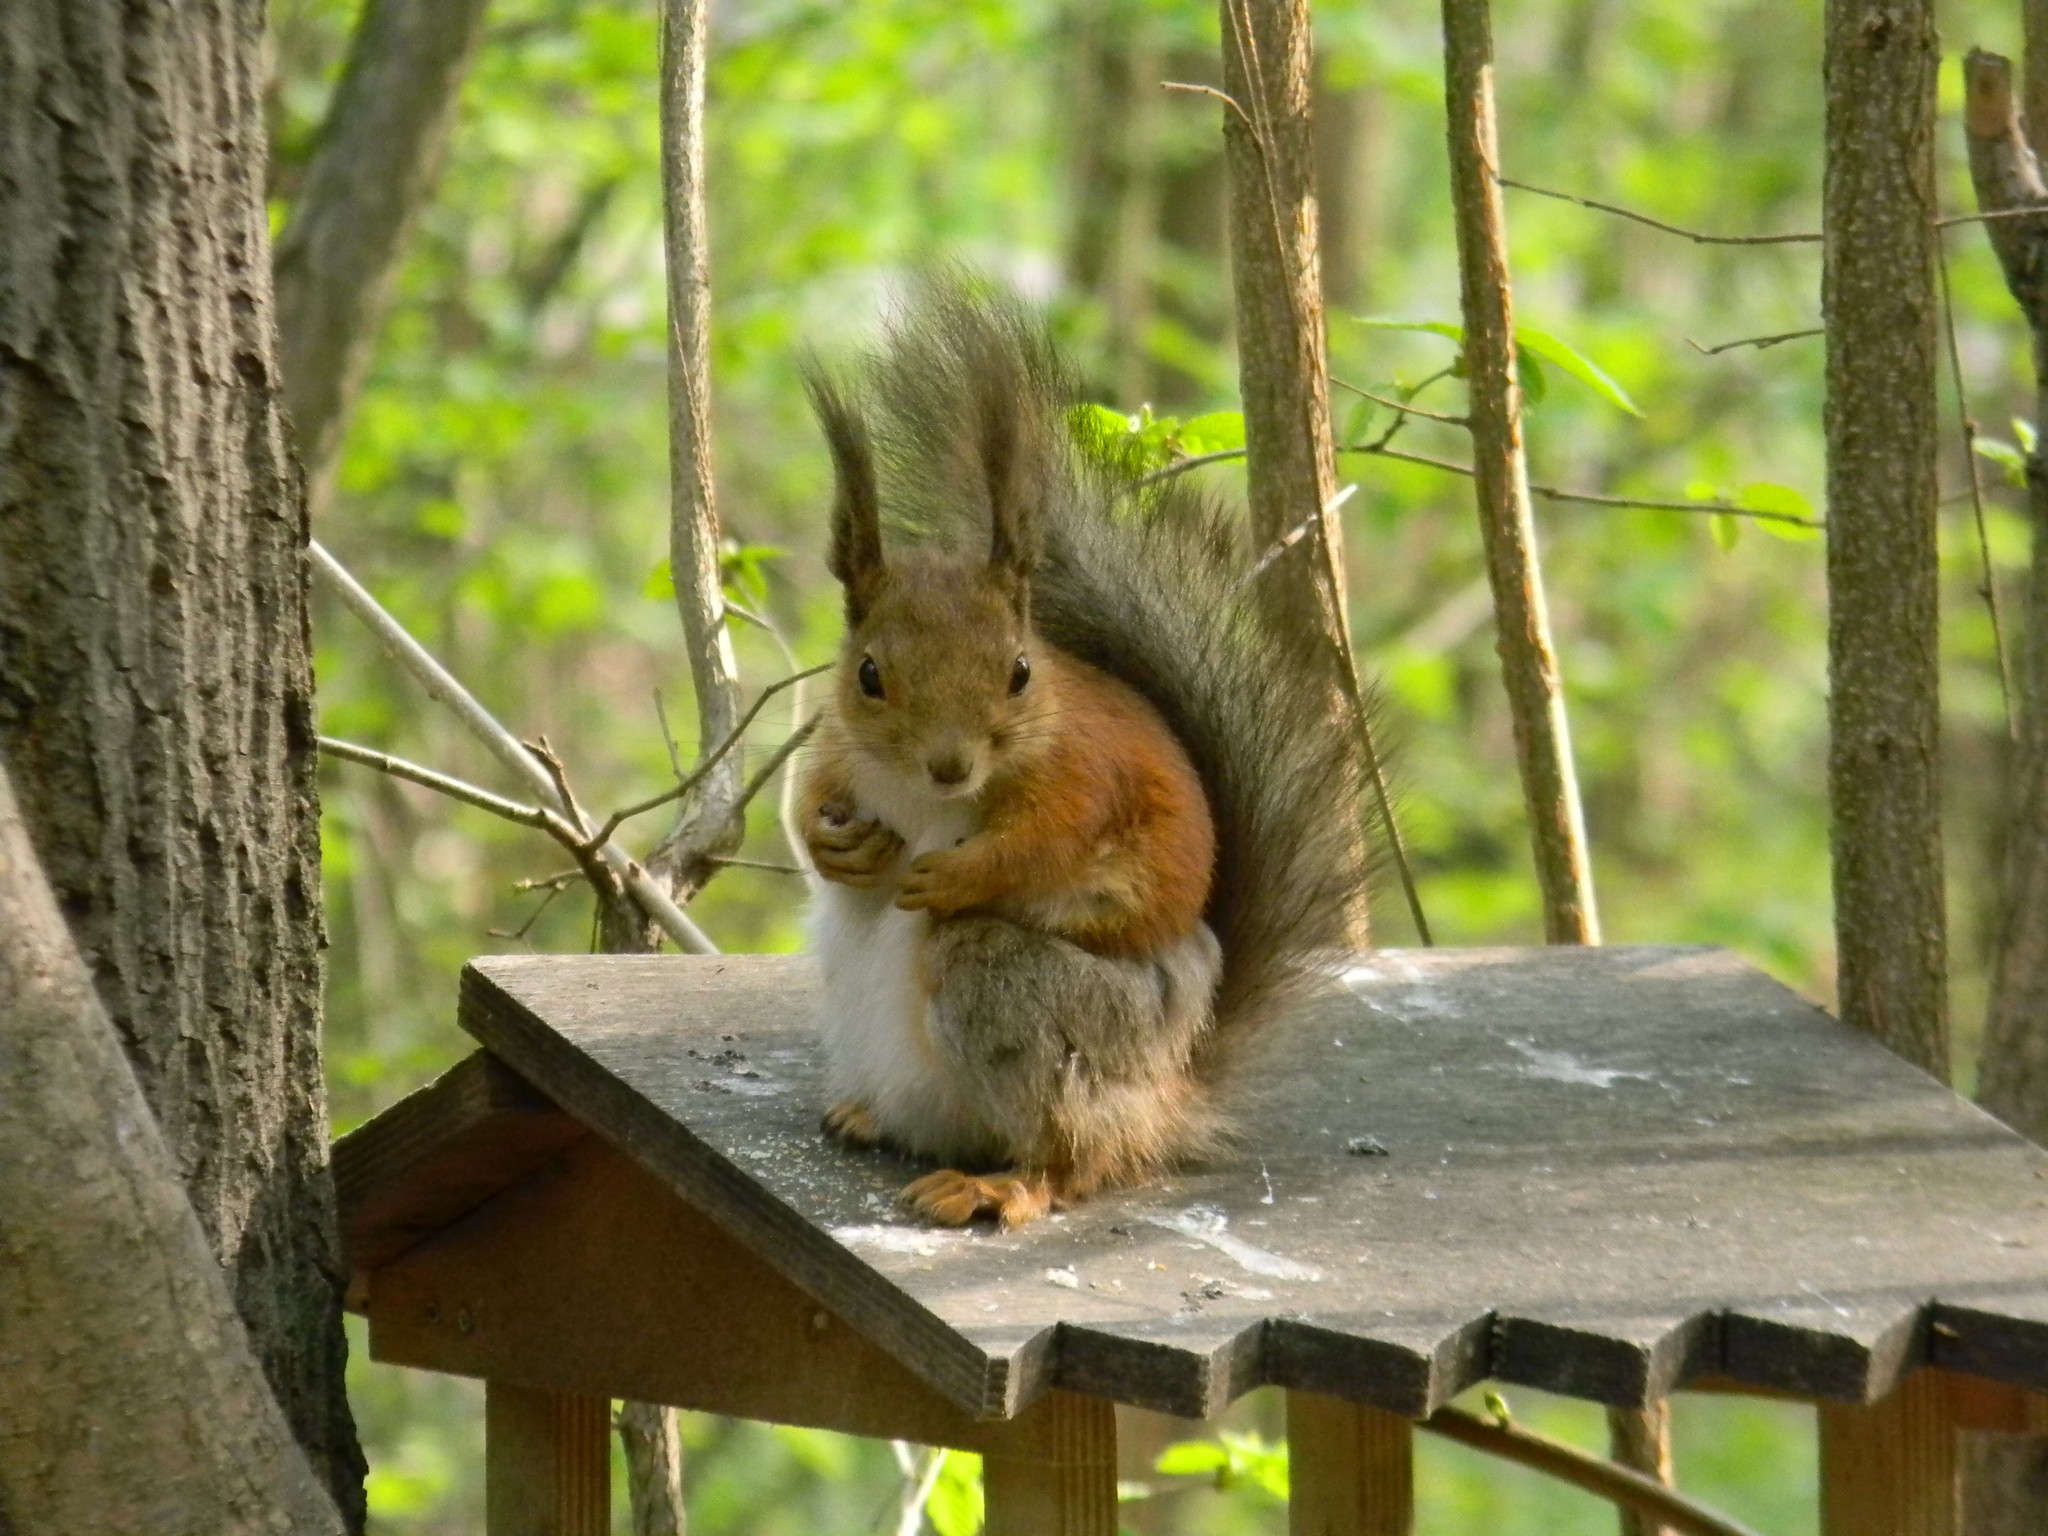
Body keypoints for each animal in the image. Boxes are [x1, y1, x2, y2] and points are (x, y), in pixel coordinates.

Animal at [794, 282, 1359, 1236]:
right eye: (869, 674)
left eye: (1021, 671)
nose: (951, 766)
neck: (918, 791)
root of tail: (1167, 1095)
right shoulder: (839, 740)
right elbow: (808, 792)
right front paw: (833, 840)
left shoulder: (1085, 777)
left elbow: (1041, 846)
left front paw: (953, 876)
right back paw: (871, 1116)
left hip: (1046, 1007)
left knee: (1076, 1158)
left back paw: (1003, 1185)